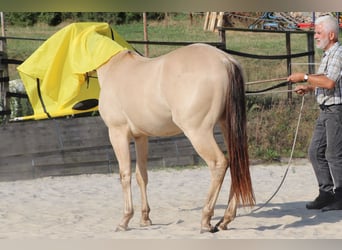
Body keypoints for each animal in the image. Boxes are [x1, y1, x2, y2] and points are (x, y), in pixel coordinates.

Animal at [96, 42, 254, 232]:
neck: (114, 67)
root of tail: (225, 60)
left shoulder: (117, 133)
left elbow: (124, 175)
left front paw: (125, 220)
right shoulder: (141, 137)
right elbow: (141, 175)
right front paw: (145, 219)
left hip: (198, 132)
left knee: (219, 164)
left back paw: (206, 219)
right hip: (227, 127)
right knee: (237, 165)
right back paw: (225, 220)